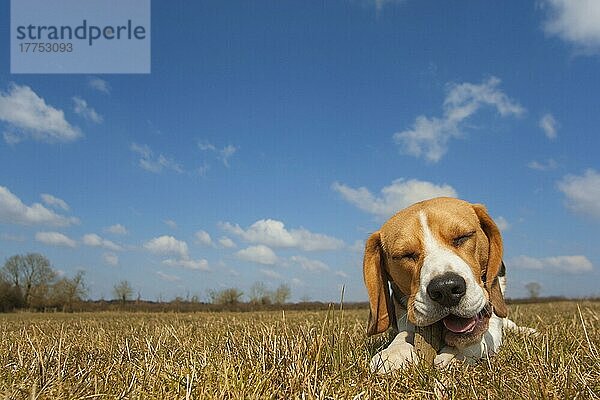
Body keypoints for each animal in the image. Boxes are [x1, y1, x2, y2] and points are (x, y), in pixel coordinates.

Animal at [364, 197, 528, 372]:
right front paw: (393, 353)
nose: (446, 289)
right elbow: (403, 335)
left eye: (462, 237)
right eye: (405, 254)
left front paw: (452, 355)